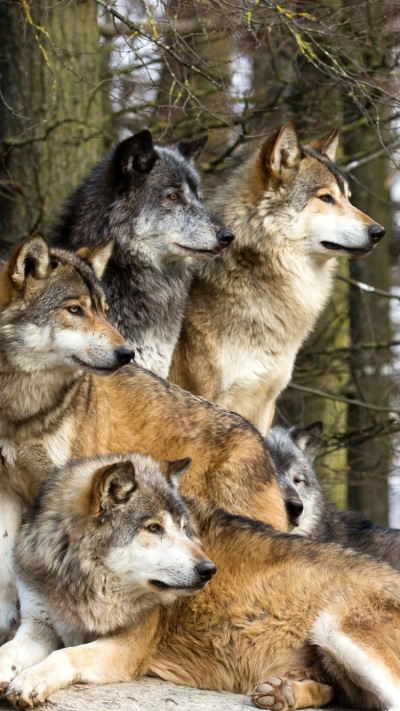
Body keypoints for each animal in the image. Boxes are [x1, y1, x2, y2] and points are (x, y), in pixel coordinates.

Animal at [0, 234, 286, 644]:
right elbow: (5, 561)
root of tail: (260, 441)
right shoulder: (6, 487)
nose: (126, 353)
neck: (23, 406)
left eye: (104, 311)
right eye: (75, 310)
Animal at [2, 463, 400, 711]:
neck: (79, 582)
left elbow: (66, 655)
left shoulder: (128, 649)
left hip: (334, 630)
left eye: (183, 528)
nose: (209, 569)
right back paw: (283, 693)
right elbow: (10, 652)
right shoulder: (38, 627)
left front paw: (29, 682)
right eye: (153, 528)